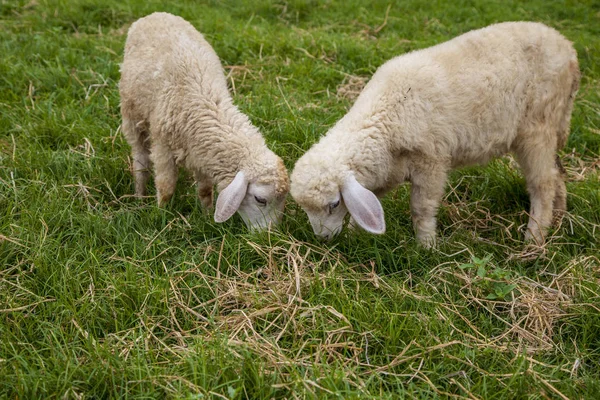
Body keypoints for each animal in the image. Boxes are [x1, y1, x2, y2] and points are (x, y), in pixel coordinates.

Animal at [119, 12, 288, 230]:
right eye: (260, 199)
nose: (269, 234)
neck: (205, 103)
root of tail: (156, 14)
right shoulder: (163, 146)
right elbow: (166, 187)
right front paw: (162, 214)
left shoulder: (201, 153)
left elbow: (205, 190)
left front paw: (207, 216)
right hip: (132, 113)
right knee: (140, 159)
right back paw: (139, 196)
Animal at [288, 22, 580, 247]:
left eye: (334, 203)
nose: (323, 239)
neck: (383, 118)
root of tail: (568, 49)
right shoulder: (388, 170)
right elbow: (372, 203)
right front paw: (354, 234)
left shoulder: (432, 161)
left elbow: (421, 209)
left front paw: (426, 246)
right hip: (553, 124)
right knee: (556, 173)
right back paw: (559, 217)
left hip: (538, 125)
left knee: (543, 183)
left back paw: (534, 239)